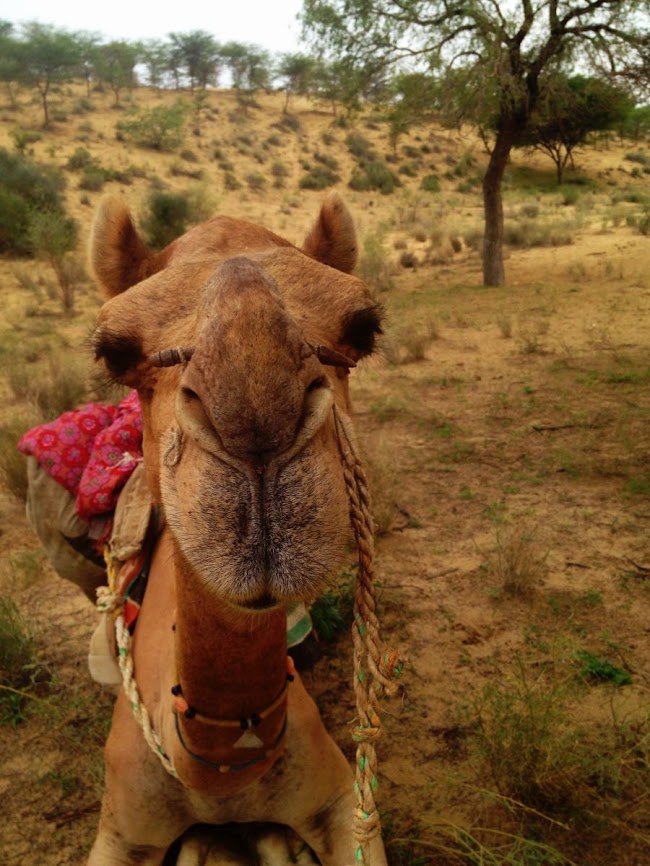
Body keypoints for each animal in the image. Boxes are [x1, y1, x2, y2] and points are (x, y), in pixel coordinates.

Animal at [86, 194, 390, 864]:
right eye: (113, 350)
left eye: (363, 328)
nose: (255, 420)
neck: (216, 775)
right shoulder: (120, 828)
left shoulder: (339, 803)